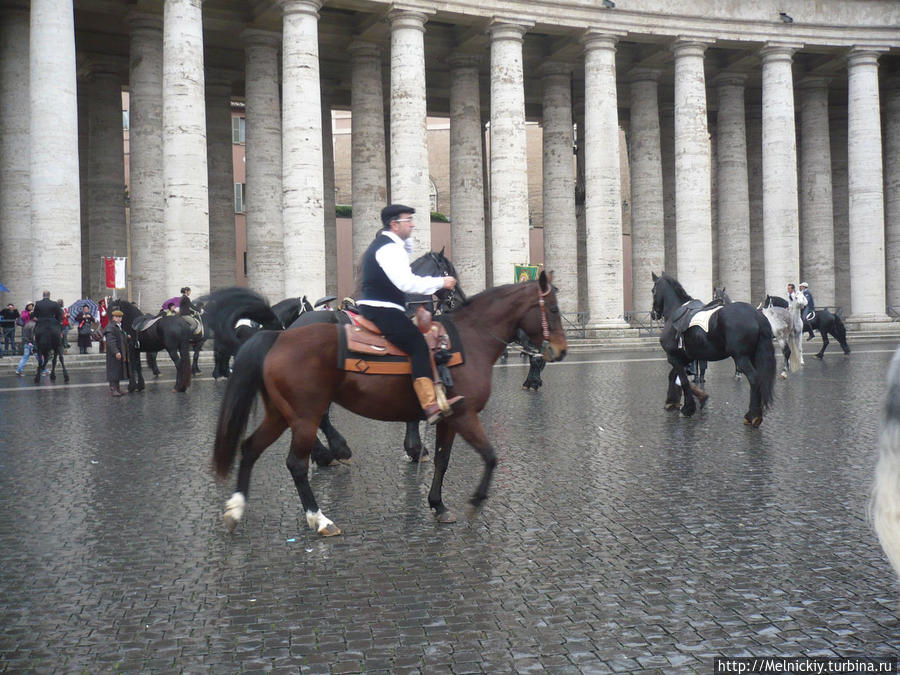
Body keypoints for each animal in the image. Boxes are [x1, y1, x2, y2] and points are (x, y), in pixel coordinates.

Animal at [212, 272, 568, 536]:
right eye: (552, 309)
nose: (560, 351)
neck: (469, 341)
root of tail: (279, 337)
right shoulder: (464, 415)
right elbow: (491, 456)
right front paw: (476, 500)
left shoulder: (449, 418)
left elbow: (443, 461)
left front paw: (437, 504)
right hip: (304, 414)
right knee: (296, 463)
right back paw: (320, 515)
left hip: (280, 414)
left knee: (250, 448)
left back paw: (236, 509)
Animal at [652, 272, 776, 426]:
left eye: (653, 291)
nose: (653, 314)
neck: (675, 312)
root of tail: (756, 315)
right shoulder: (684, 357)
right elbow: (674, 377)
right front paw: (673, 401)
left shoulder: (673, 356)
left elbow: (683, 380)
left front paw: (687, 408)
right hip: (754, 356)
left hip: (741, 357)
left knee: (754, 378)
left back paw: (752, 415)